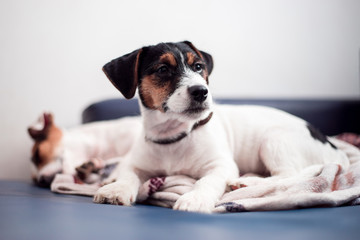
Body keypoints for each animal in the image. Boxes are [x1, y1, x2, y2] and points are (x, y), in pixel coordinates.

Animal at [93, 40, 348, 213]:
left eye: (198, 67)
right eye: (163, 69)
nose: (201, 91)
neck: (175, 135)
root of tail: (334, 149)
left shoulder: (221, 165)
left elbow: (207, 180)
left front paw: (195, 198)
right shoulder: (137, 164)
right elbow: (128, 174)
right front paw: (116, 189)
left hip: (274, 140)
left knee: (288, 174)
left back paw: (248, 181)